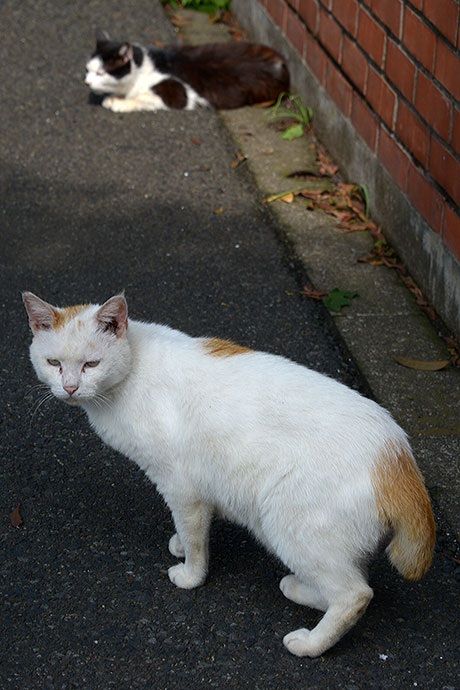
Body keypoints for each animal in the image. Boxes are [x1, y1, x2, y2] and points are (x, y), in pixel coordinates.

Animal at [23, 290, 436, 656]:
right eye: (54, 363)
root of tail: (398, 457)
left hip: (284, 522)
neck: (132, 369)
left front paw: (190, 575)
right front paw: (178, 543)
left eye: (91, 364)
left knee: (355, 595)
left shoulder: (181, 486)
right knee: (349, 581)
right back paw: (297, 588)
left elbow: (195, 541)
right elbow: (190, 530)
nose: (70, 387)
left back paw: (310, 644)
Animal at [84, 29, 290, 111]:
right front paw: (113, 97)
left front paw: (119, 102)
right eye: (87, 70)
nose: (86, 82)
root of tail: (282, 64)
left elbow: (142, 98)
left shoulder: (177, 93)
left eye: (101, 73)